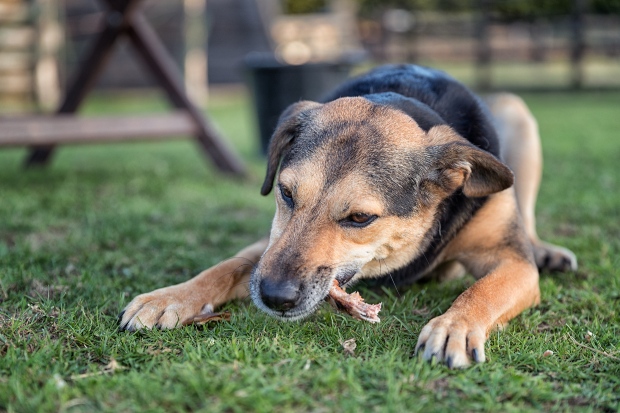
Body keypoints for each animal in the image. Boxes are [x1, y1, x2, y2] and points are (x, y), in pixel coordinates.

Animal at [120, 64, 576, 366]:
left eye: (359, 218)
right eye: (286, 193)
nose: (274, 297)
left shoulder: (513, 263)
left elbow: (484, 289)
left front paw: (454, 326)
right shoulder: (270, 246)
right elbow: (226, 266)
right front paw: (169, 298)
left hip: (517, 115)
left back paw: (545, 251)